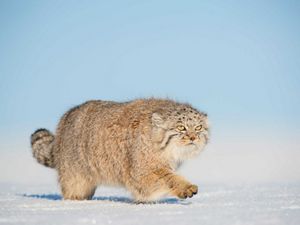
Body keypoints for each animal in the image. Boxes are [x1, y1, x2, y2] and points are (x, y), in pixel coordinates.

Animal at [30, 98, 209, 202]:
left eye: (198, 128)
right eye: (181, 127)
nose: (193, 137)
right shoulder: (141, 172)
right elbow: (167, 178)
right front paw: (184, 187)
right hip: (75, 178)